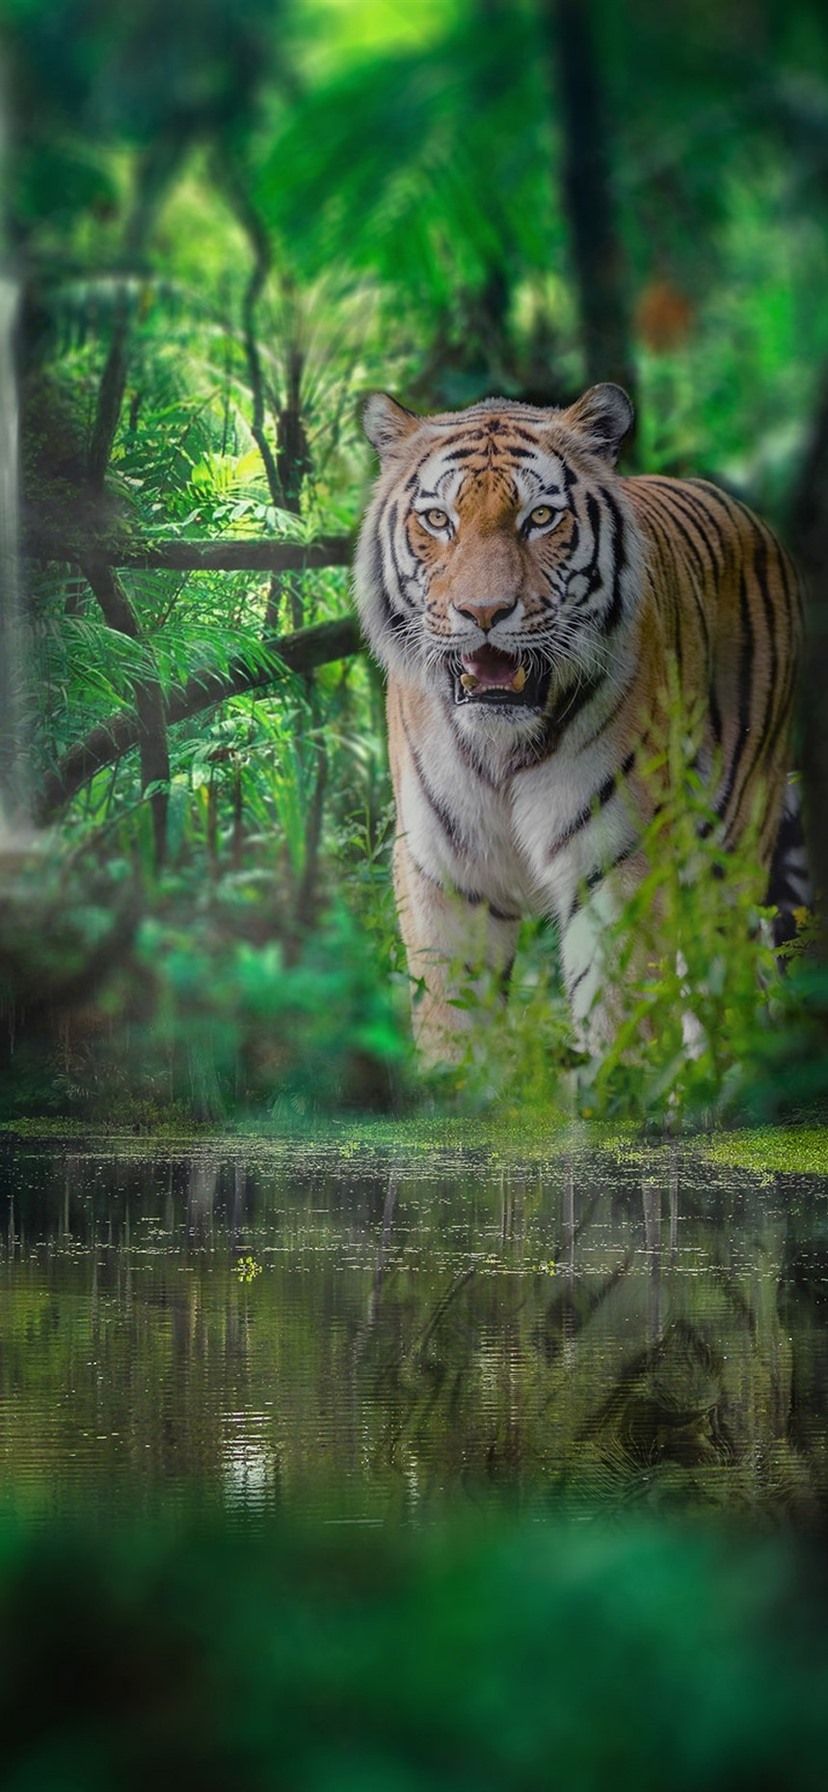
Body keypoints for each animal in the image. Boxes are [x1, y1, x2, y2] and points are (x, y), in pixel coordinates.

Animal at [354, 383, 804, 1064]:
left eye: (540, 518)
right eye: (438, 520)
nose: (483, 612)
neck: (502, 746)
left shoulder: (615, 868)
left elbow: (621, 1026)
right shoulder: (444, 874)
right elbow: (451, 1031)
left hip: (729, 854)